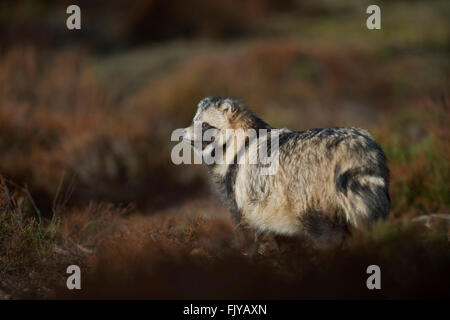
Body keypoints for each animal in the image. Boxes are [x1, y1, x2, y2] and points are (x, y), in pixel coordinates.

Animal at [181, 96, 388, 246]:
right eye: (193, 121)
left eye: (205, 125)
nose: (182, 133)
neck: (240, 143)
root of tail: (354, 147)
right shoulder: (271, 212)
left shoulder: (241, 203)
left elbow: (247, 234)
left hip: (313, 203)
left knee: (329, 236)